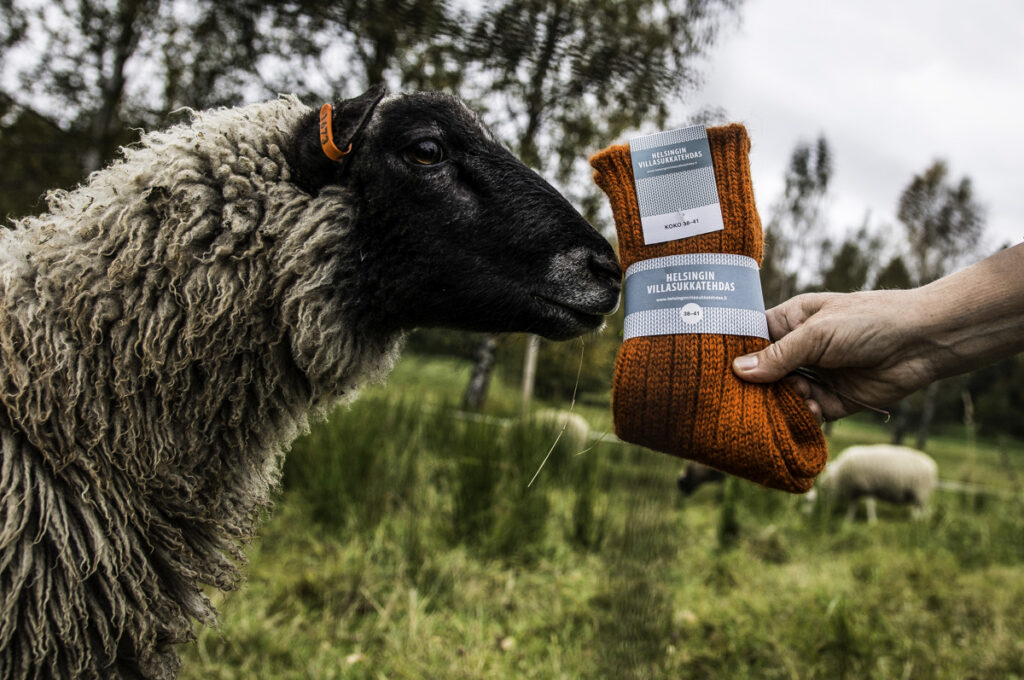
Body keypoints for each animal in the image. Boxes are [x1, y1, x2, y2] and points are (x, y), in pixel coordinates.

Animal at [809, 444, 939, 522]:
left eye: (824, 491)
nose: (821, 510)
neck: (841, 475)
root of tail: (932, 465)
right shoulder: (856, 490)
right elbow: (853, 506)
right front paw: (848, 519)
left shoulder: (867, 486)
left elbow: (870, 505)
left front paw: (872, 521)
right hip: (918, 494)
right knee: (922, 509)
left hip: (921, 491)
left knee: (921, 509)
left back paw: (915, 522)